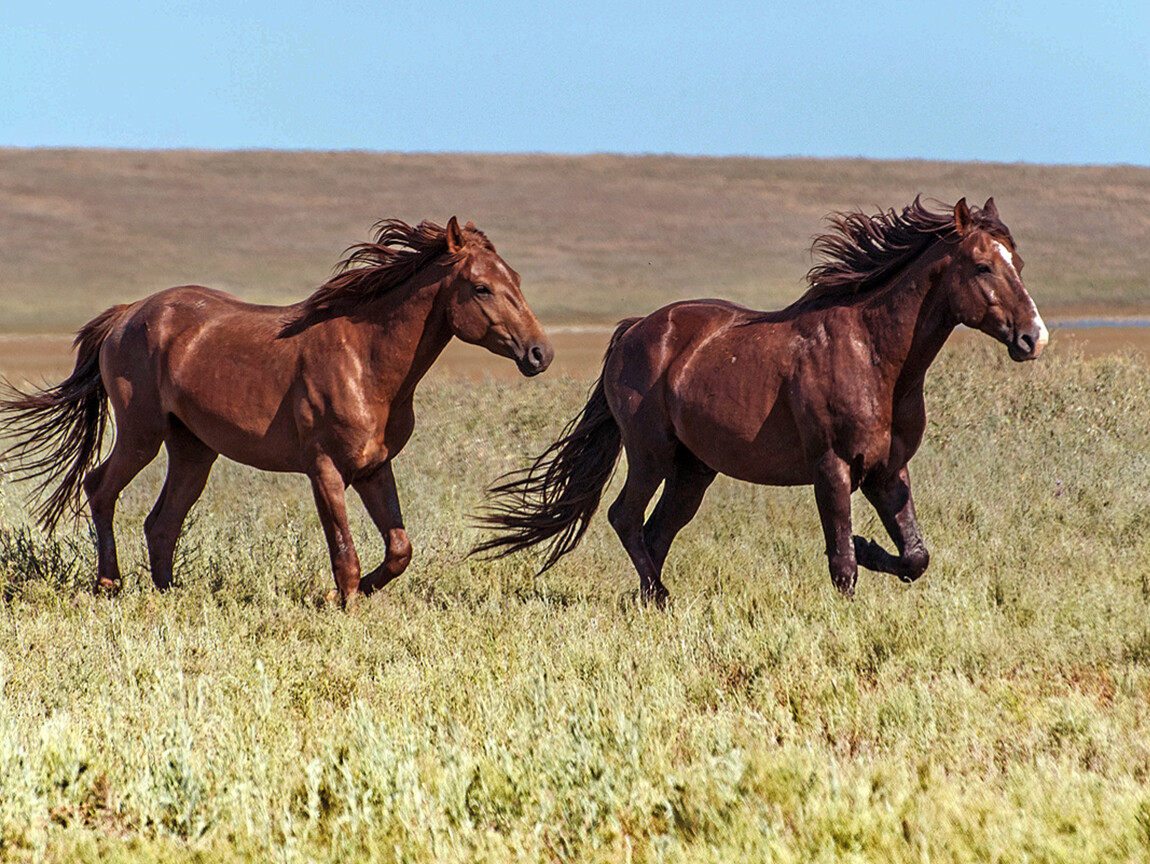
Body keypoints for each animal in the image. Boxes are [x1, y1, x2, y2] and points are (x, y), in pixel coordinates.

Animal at [1, 216, 552, 602]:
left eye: (518, 279)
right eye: (481, 287)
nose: (539, 353)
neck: (365, 359)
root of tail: (127, 314)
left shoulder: (374, 468)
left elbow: (399, 550)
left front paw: (353, 593)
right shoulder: (325, 470)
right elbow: (345, 555)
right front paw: (340, 600)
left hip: (193, 450)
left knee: (161, 522)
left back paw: (169, 596)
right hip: (142, 434)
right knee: (100, 488)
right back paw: (108, 585)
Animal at [471, 197, 1048, 602]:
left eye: (1018, 262)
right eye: (982, 266)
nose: (1033, 338)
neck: (873, 355)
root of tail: (635, 328)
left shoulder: (888, 471)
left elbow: (915, 557)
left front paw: (872, 547)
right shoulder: (832, 469)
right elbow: (841, 562)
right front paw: (856, 569)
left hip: (694, 470)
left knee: (656, 532)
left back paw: (652, 600)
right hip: (651, 453)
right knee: (625, 518)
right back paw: (660, 598)